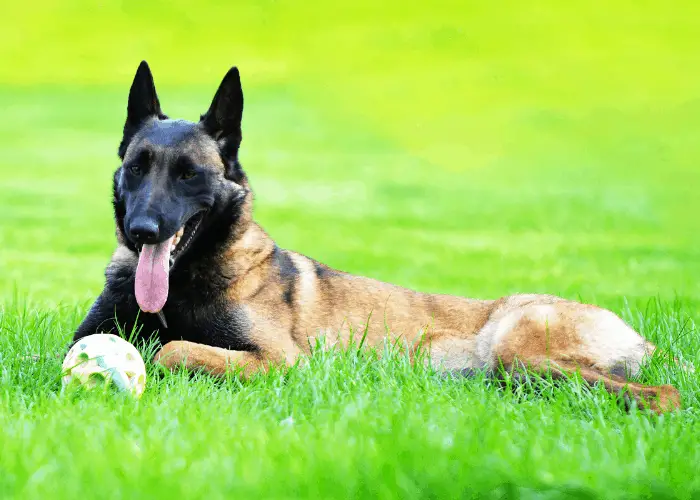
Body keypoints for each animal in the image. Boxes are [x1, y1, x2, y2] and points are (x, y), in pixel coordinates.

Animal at [72, 61, 684, 414]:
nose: (142, 231)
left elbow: (172, 349)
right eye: (137, 167)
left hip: (519, 348)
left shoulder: (281, 360)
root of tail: (637, 337)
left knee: (663, 397)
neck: (188, 279)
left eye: (188, 174)